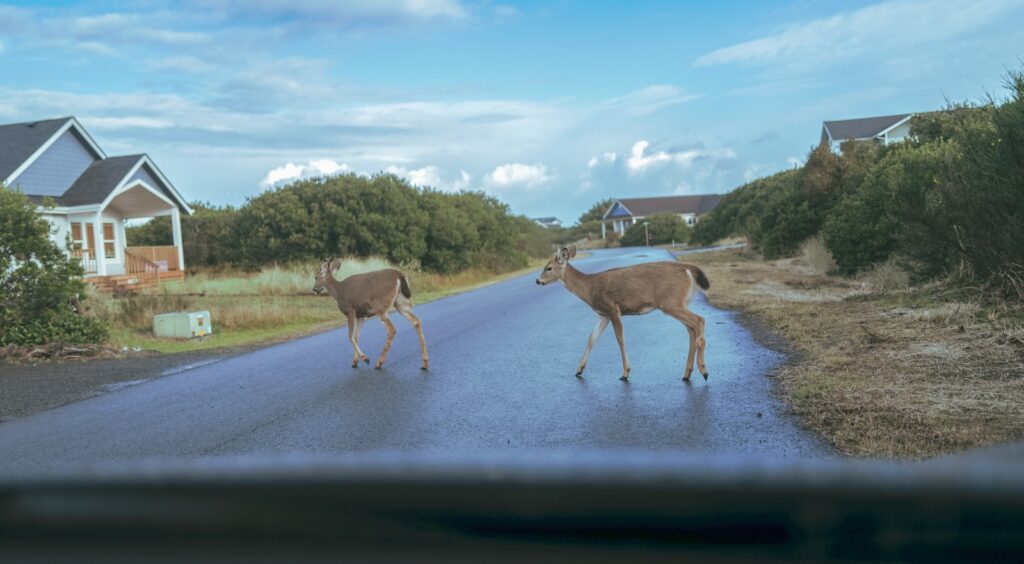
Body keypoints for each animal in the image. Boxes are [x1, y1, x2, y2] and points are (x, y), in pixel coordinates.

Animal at [535, 244, 710, 382]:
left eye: (549, 268)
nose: (537, 280)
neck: (590, 289)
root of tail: (688, 269)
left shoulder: (613, 308)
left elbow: (620, 339)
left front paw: (626, 372)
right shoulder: (603, 314)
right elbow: (591, 339)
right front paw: (579, 369)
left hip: (670, 301)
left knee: (699, 320)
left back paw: (704, 370)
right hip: (678, 302)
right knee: (691, 330)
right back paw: (687, 374)